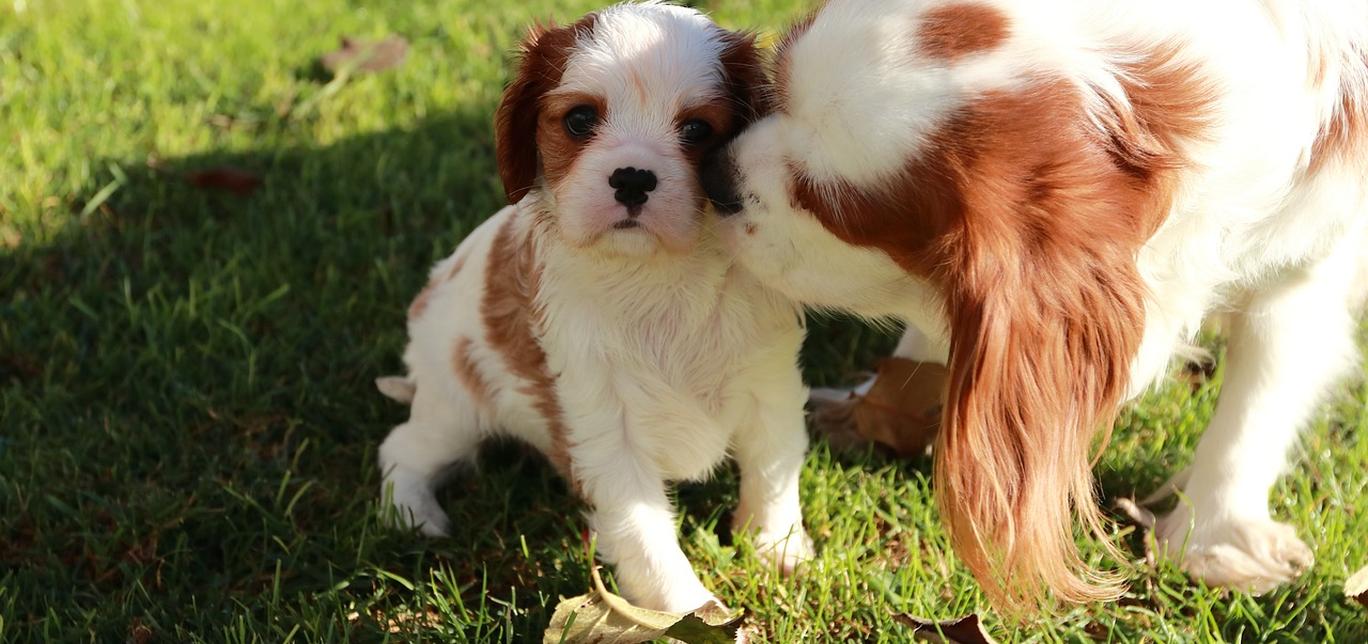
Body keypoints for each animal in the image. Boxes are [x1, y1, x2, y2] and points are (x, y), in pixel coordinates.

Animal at [374, 0, 809, 615]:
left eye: (697, 129)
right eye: (580, 120)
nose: (632, 177)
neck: (656, 276)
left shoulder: (769, 385)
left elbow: (773, 469)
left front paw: (777, 547)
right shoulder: (603, 425)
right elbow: (645, 533)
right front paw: (690, 610)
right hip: (455, 405)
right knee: (403, 447)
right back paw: (413, 513)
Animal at [705, 0, 1368, 609]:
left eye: (832, 209)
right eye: (775, 89)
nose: (717, 177)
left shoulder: (1309, 263)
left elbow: (1258, 403)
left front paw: (1212, 535)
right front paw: (877, 402)